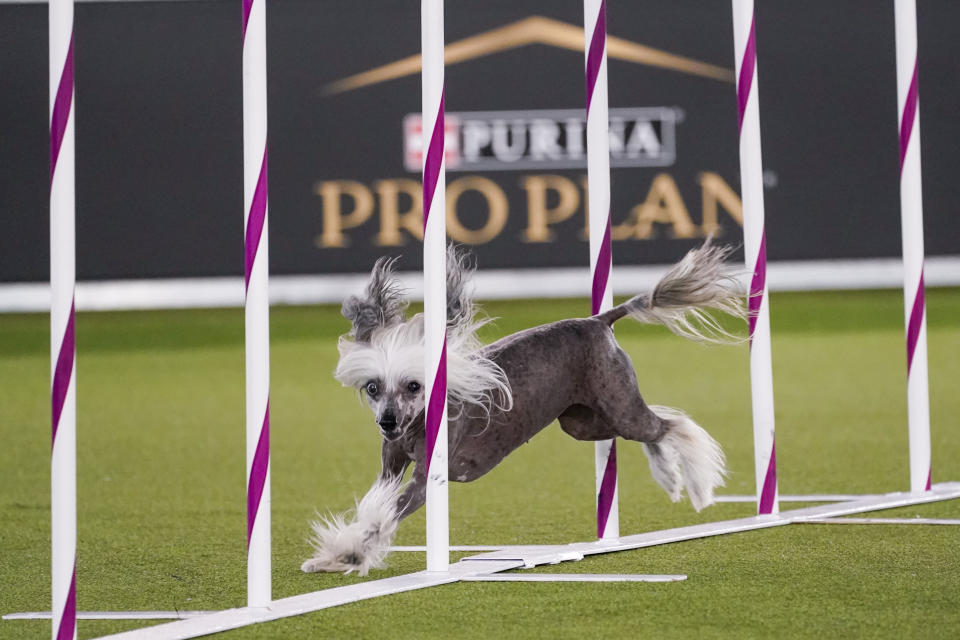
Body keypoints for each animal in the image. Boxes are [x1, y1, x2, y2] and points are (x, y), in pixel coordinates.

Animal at [304, 239, 748, 576]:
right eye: (373, 388)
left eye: (414, 385)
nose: (387, 422)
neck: (417, 422)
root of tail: (597, 321)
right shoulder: (390, 468)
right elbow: (373, 508)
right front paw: (333, 555)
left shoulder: (425, 480)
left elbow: (383, 517)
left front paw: (349, 553)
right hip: (583, 422)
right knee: (652, 428)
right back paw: (669, 476)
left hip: (618, 407)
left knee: (671, 425)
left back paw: (697, 486)